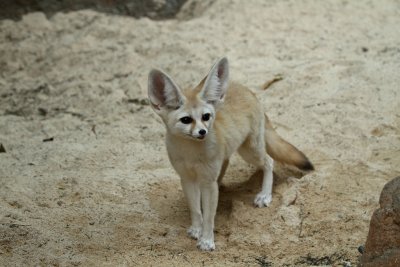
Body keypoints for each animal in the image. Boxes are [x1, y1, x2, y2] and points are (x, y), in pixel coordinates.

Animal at [147, 57, 312, 252]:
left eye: (206, 116)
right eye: (186, 120)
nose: (202, 132)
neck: (191, 154)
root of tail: (246, 89)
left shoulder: (208, 182)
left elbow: (209, 216)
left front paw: (207, 240)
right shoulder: (187, 178)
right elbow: (195, 209)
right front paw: (196, 228)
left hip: (250, 151)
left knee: (269, 161)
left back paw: (265, 195)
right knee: (226, 166)